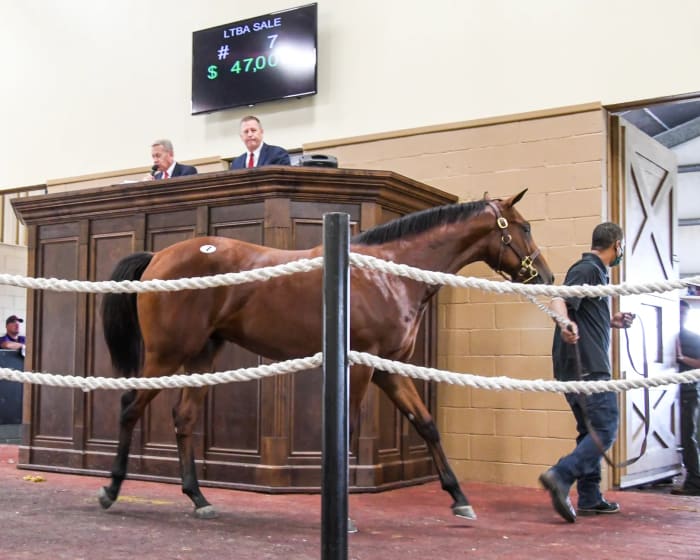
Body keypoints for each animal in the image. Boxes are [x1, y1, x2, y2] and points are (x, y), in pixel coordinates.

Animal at [97, 188, 552, 520]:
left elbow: (425, 424)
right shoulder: (362, 366)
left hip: (201, 357)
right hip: (166, 354)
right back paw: (111, 490)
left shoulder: (389, 368)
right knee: (129, 407)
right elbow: (346, 432)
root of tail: (158, 256)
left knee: (184, 418)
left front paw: (459, 497)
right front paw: (343, 511)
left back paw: (198, 498)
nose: (545, 276)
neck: (387, 273)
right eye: (524, 227)